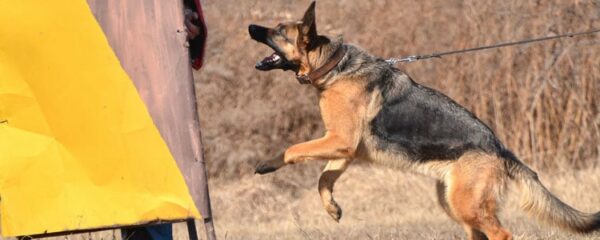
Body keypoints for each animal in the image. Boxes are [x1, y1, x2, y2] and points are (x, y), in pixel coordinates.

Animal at [247, 2, 600, 240]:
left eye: (279, 30)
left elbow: (293, 150)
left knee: (502, 234)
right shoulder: (343, 147)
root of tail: (500, 148)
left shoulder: (339, 142)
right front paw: (332, 208)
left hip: (466, 205)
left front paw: (267, 163)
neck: (333, 66)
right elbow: (324, 179)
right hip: (456, 204)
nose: (251, 27)